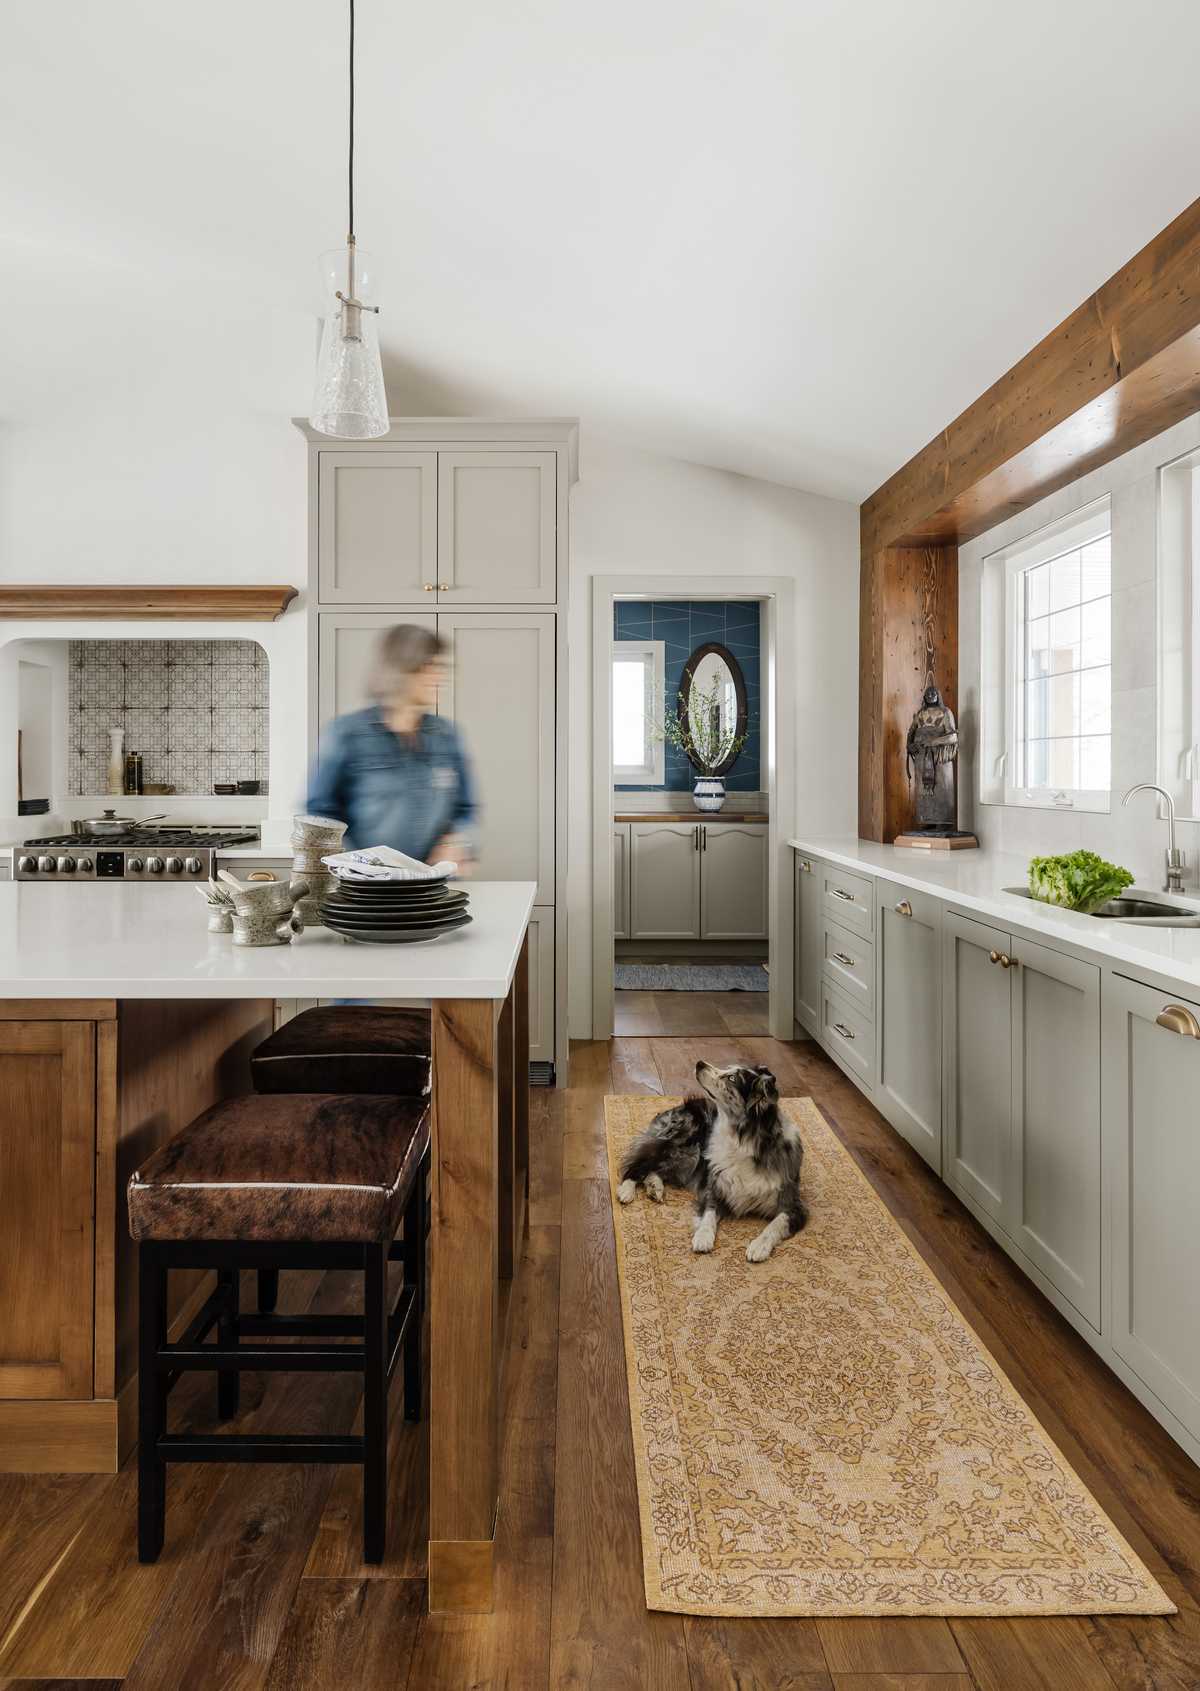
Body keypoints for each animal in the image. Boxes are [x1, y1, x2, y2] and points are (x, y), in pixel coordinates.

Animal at [621, 1061, 807, 1264]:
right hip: (683, 1147)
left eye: (732, 1078)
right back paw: (626, 1191)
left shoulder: (794, 1207)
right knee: (637, 1165)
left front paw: (759, 1247)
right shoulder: (715, 1187)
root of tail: (680, 1106)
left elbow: (776, 1224)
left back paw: (655, 1188)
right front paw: (703, 1237)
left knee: (655, 1169)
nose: (699, 1063)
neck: (742, 1142)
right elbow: (709, 1214)